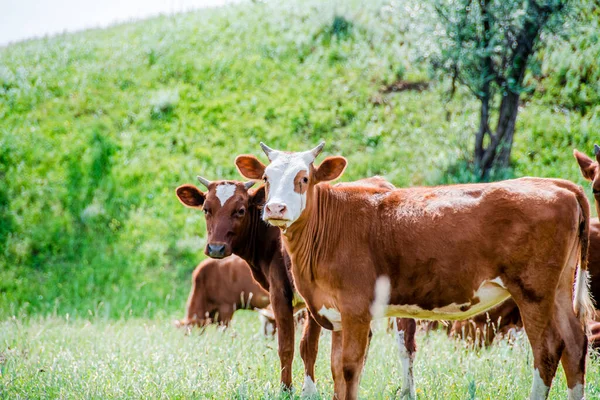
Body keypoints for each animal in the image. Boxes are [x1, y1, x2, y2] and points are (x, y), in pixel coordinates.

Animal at [237, 143, 592, 400]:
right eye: (267, 179)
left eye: (304, 179)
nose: (276, 208)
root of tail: (558, 185)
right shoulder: (335, 313)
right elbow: (337, 369)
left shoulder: (356, 310)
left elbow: (350, 368)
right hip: (559, 288)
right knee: (575, 344)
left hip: (533, 291)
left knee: (548, 349)